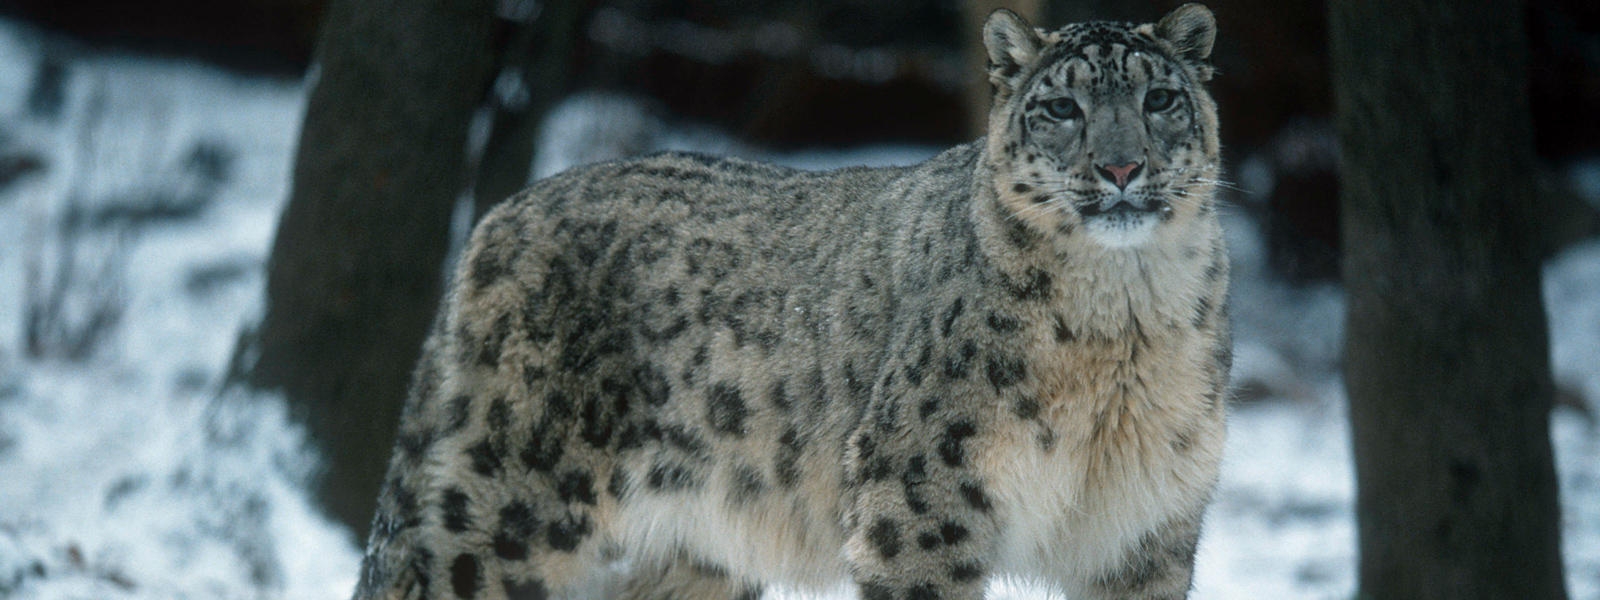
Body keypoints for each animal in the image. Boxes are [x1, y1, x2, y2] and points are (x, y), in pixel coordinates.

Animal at [353, 4, 1230, 600]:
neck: (1123, 324)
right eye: (1061, 108)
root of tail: (502, 214)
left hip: (698, 554)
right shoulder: (925, 501)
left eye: (1159, 99)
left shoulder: (1148, 527)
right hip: (504, 509)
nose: (1121, 168)